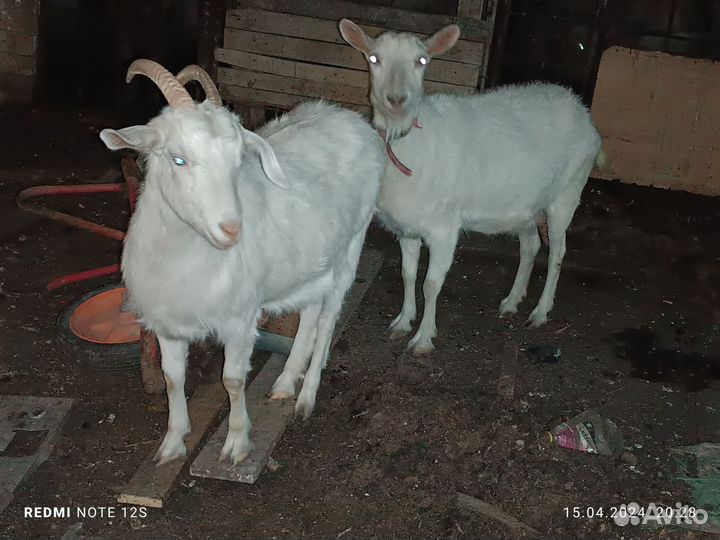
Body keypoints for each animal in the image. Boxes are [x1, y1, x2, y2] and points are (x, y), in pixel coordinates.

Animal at [99, 60, 385, 464]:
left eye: (238, 162)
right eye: (178, 158)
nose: (232, 229)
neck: (182, 252)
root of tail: (350, 118)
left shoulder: (238, 319)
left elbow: (232, 381)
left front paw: (237, 442)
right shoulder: (167, 323)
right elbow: (173, 377)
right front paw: (172, 442)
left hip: (352, 244)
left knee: (328, 318)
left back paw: (307, 396)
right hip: (313, 261)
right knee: (311, 310)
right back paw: (286, 380)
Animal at [339, 20, 608, 354]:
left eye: (422, 60)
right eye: (374, 58)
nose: (397, 100)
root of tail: (582, 111)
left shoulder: (444, 228)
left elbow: (431, 283)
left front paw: (423, 338)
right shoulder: (407, 228)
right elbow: (407, 273)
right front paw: (402, 322)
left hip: (567, 193)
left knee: (557, 253)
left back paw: (540, 311)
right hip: (525, 205)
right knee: (531, 245)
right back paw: (511, 301)